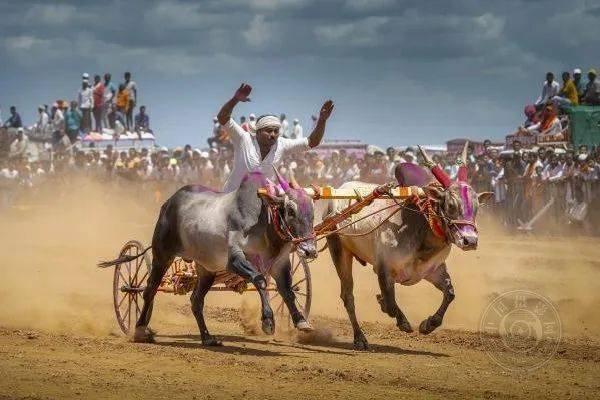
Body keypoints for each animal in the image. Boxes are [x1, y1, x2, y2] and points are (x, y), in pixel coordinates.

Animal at [99, 170, 314, 346]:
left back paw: (207, 337)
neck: (264, 220)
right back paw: (140, 330)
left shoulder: (279, 264)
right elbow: (260, 280)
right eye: (291, 210)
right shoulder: (234, 259)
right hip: (162, 256)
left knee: (196, 300)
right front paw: (268, 321)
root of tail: (168, 203)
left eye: (312, 211)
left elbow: (287, 291)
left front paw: (301, 321)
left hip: (206, 270)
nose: (309, 250)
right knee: (148, 291)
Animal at [324, 145, 492, 348]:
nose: (470, 240)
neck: (422, 222)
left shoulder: (434, 270)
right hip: (339, 251)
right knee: (348, 296)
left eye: (476, 207)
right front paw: (399, 318)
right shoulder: (384, 270)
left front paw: (428, 324)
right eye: (451, 204)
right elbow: (390, 304)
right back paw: (359, 338)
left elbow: (450, 293)